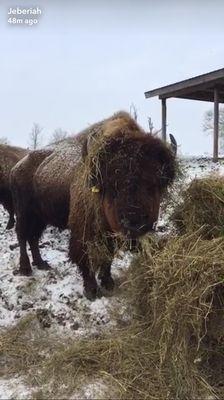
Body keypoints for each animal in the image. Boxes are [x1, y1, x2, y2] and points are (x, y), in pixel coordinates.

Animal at [11, 112, 177, 300]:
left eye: (154, 183)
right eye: (112, 186)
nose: (134, 222)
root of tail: (17, 167)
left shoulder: (110, 234)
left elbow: (107, 257)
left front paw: (108, 282)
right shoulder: (82, 230)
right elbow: (84, 257)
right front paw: (91, 290)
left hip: (40, 217)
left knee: (33, 237)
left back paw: (41, 263)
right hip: (23, 213)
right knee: (22, 236)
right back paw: (26, 268)